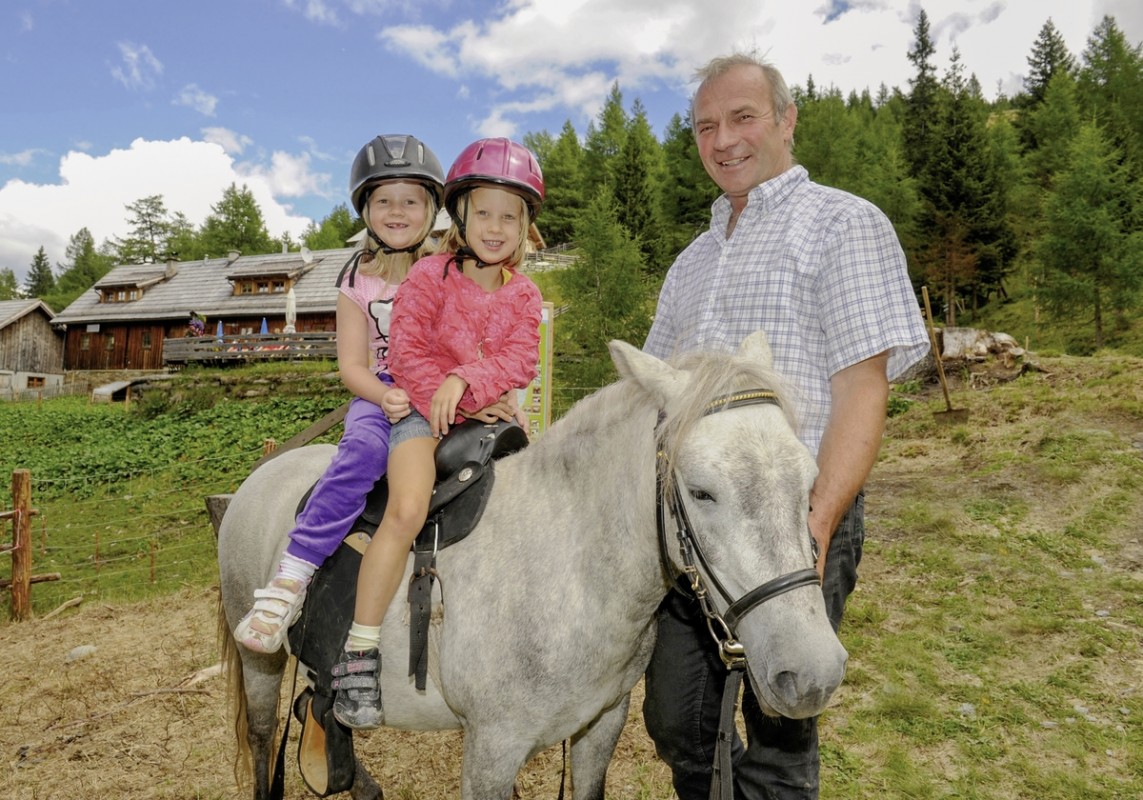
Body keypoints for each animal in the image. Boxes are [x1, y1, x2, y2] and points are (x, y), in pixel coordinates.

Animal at [218, 331, 850, 800]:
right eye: (700, 492)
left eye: (810, 483)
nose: (812, 672)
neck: (569, 572)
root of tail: (263, 474)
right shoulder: (491, 750)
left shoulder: (601, 724)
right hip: (260, 662)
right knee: (263, 738)